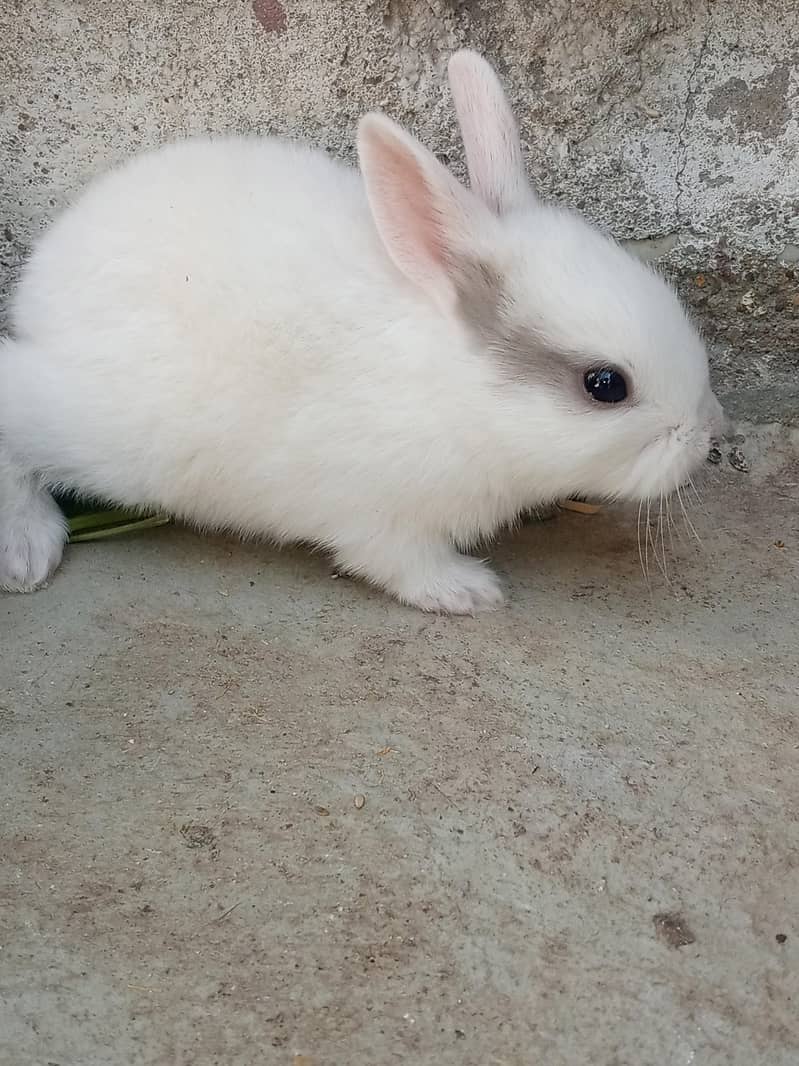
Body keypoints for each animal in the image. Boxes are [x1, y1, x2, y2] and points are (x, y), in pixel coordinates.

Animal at [0, 50, 722, 613]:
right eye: (605, 385)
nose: (705, 435)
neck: (457, 391)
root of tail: (38, 291)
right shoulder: (380, 514)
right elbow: (398, 561)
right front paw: (468, 592)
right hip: (99, 426)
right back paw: (27, 553)